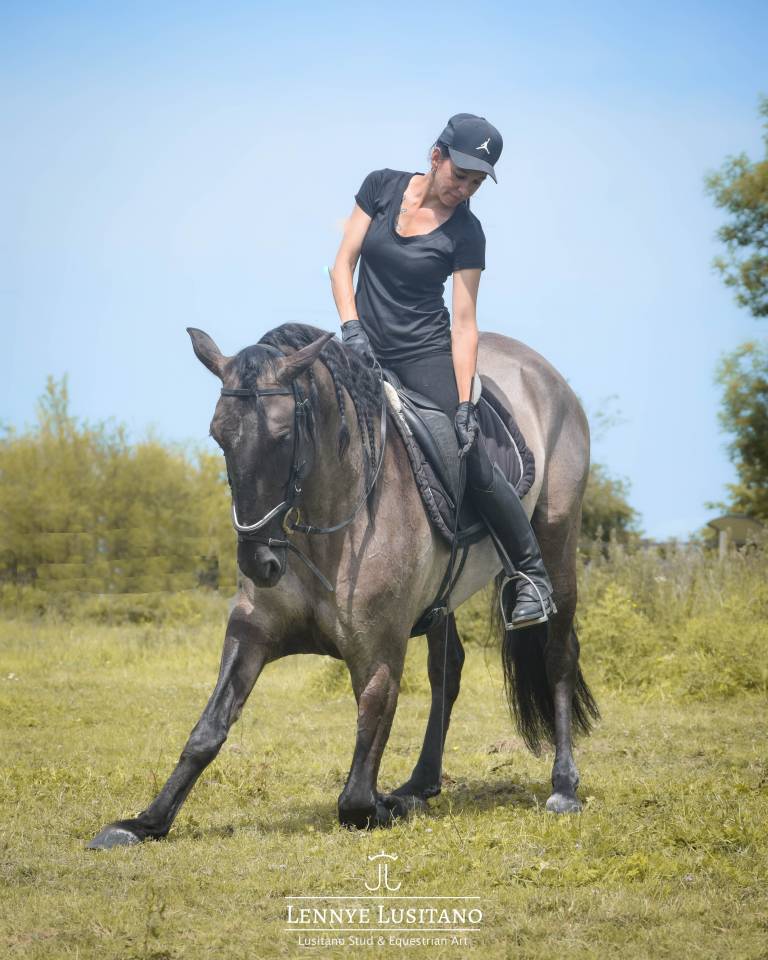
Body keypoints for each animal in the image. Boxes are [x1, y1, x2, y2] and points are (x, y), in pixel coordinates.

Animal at [87, 323, 599, 848]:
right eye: (219, 435)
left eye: (283, 436)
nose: (260, 562)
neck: (332, 529)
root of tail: (539, 370)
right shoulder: (253, 630)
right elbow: (208, 728)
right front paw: (144, 822)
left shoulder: (379, 653)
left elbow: (356, 792)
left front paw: (383, 806)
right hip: (444, 597)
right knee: (447, 670)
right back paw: (420, 785)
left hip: (557, 542)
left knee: (558, 655)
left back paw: (563, 787)